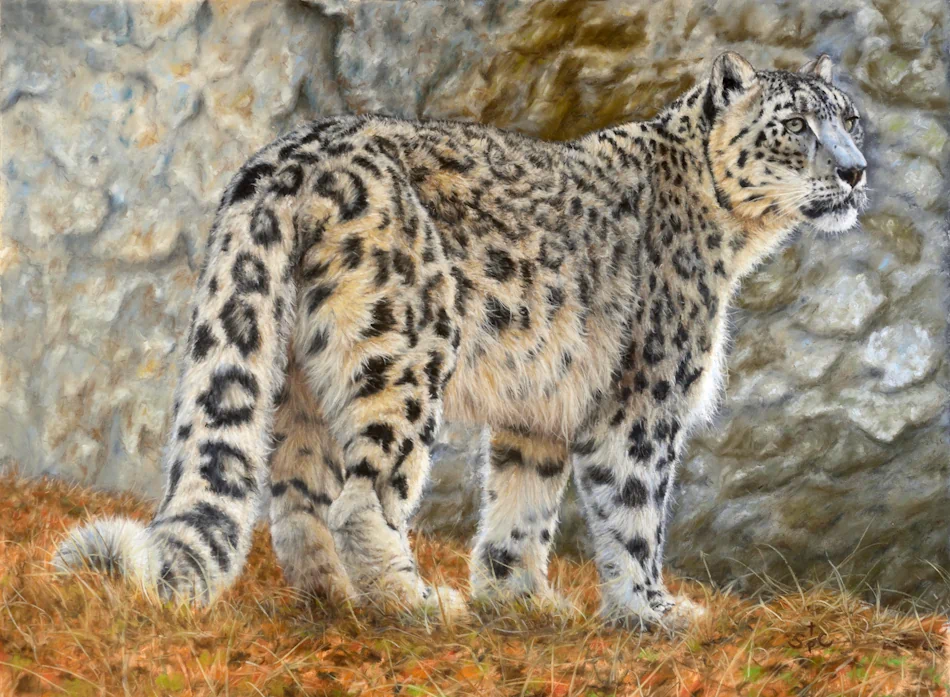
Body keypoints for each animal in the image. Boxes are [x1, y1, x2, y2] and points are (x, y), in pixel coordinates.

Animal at [55, 51, 867, 629]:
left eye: (851, 119)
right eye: (797, 126)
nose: (857, 172)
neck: (736, 243)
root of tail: (288, 155)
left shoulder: (540, 404)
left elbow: (523, 502)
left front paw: (521, 600)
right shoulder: (644, 399)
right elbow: (636, 511)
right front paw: (653, 612)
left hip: (299, 371)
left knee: (298, 499)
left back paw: (337, 600)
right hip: (408, 349)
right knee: (363, 498)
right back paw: (414, 605)